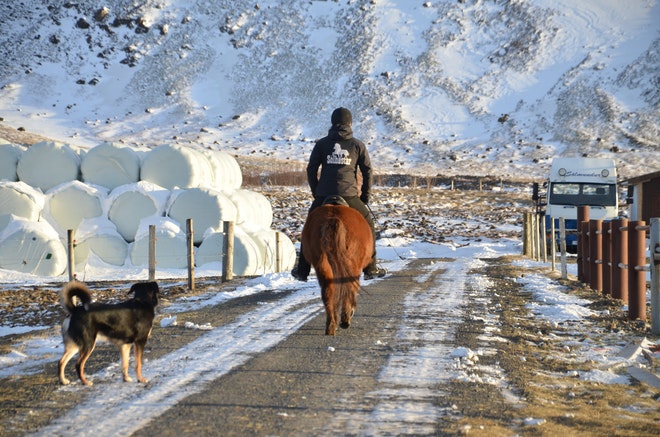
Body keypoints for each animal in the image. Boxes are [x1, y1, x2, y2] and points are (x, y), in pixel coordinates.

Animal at [302, 201, 374, 334]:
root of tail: (332, 218)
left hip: (322, 265)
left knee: (327, 291)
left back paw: (331, 325)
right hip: (352, 265)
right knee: (349, 287)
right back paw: (345, 319)